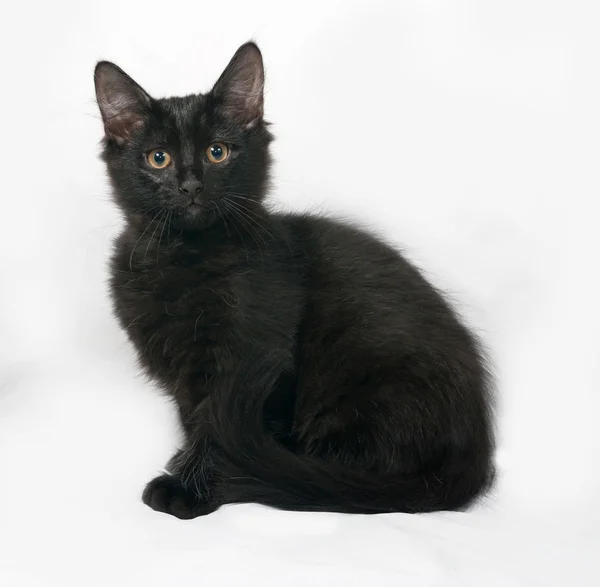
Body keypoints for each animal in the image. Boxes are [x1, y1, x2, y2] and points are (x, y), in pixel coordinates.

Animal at [94, 41, 494, 520]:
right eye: (159, 158)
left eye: (217, 153)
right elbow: (198, 421)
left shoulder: (255, 358)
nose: (190, 186)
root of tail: (474, 454)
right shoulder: (186, 375)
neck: (186, 257)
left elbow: (217, 429)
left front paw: (190, 489)